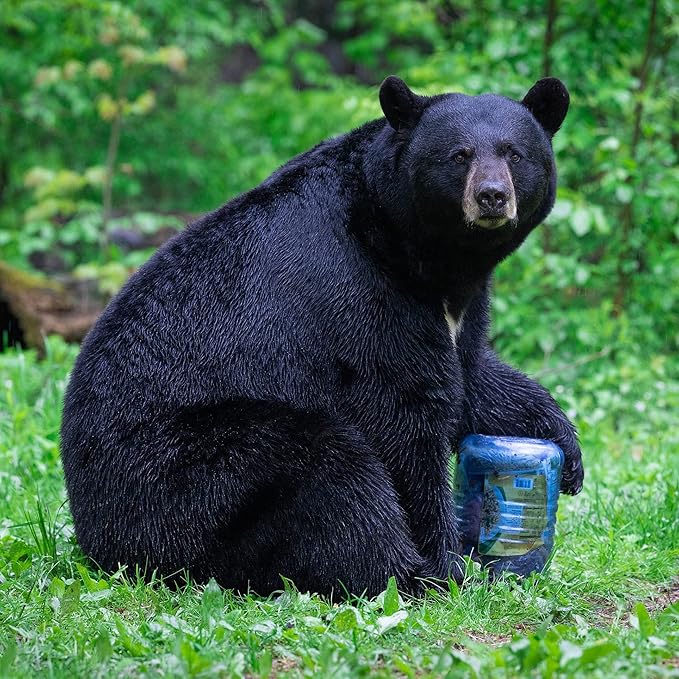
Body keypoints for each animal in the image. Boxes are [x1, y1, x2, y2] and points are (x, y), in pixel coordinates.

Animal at [60, 76, 584, 598]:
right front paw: (447, 564)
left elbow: (472, 374)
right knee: (329, 471)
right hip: (185, 474)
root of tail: (96, 534)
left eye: (514, 153)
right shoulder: (364, 293)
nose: (492, 196)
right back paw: (405, 572)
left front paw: (564, 449)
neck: (422, 252)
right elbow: (404, 413)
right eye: (459, 155)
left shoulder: (459, 305)